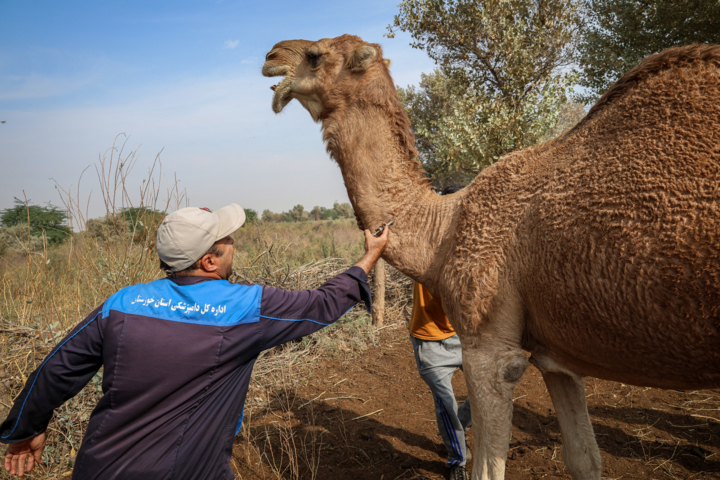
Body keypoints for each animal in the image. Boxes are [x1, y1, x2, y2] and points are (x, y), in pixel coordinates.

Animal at [262, 35, 720, 478]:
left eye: (314, 55)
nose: (270, 57)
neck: (444, 229)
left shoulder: (489, 348)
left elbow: (486, 467)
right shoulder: (556, 356)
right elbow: (585, 461)